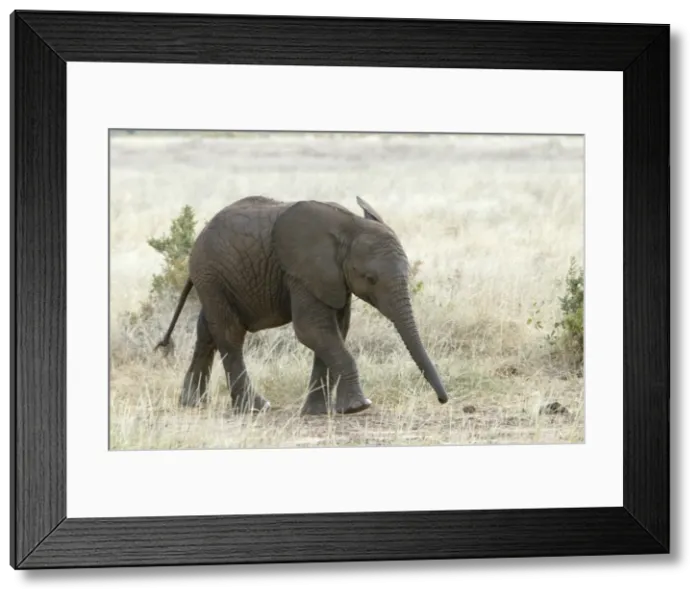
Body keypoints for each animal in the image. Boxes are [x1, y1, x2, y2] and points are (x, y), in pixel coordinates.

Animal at [154, 195, 449, 416]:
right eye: (370, 278)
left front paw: (317, 413)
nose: (443, 400)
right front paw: (358, 407)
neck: (349, 226)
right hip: (211, 273)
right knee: (230, 335)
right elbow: (312, 330)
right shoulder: (301, 273)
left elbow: (335, 331)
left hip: (216, 279)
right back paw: (255, 408)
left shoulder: (332, 279)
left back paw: (192, 403)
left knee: (207, 331)